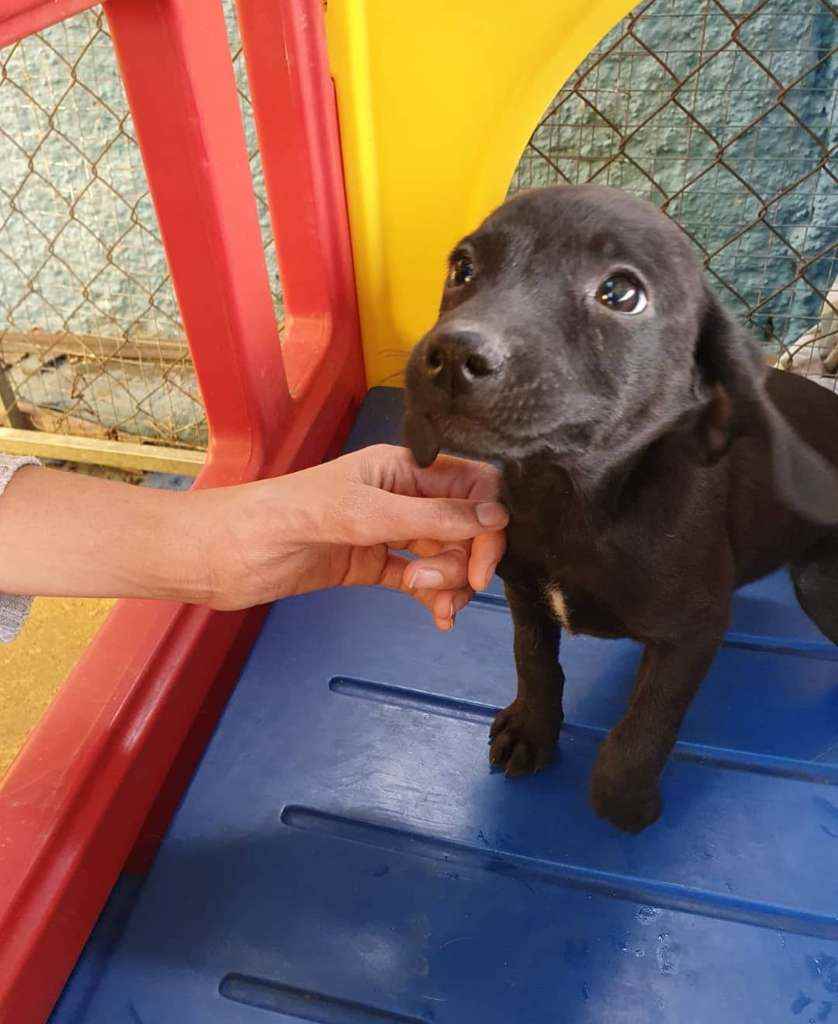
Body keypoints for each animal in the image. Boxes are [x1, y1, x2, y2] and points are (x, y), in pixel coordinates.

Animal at [404, 184, 838, 833]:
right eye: (462, 268)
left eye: (620, 294)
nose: (451, 355)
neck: (570, 496)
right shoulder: (523, 590)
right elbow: (535, 664)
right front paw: (533, 729)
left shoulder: (693, 634)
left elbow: (643, 727)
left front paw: (627, 801)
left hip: (820, 586)